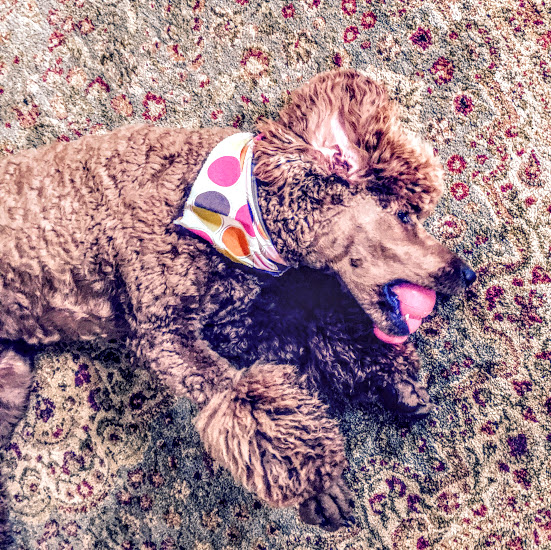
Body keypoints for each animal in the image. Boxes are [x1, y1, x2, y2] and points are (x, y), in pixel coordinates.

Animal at [0, 69, 475, 539]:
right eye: (405, 217)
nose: (468, 273)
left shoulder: (231, 316)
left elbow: (316, 327)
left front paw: (392, 381)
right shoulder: (164, 330)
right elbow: (246, 404)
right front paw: (317, 488)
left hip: (12, 380)